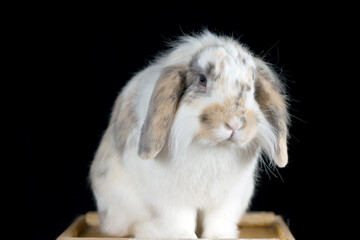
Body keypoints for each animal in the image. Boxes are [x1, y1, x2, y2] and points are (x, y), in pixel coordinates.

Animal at [90, 30, 290, 238]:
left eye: (252, 85)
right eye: (202, 80)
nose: (234, 123)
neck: (212, 147)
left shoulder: (227, 200)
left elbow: (219, 219)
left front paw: (219, 236)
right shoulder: (172, 198)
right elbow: (179, 219)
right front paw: (183, 236)